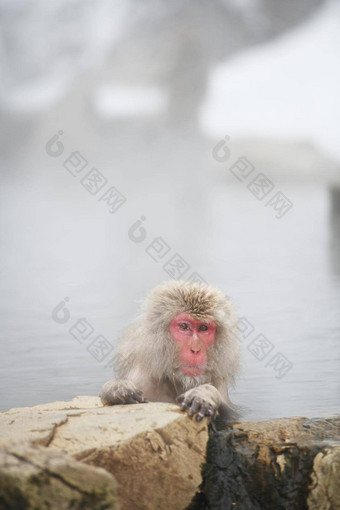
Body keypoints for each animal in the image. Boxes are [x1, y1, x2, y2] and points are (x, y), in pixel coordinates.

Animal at [99, 280, 240, 420]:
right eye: (183, 326)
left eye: (203, 328)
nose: (195, 349)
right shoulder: (142, 379)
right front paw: (117, 389)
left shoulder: (219, 382)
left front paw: (204, 394)